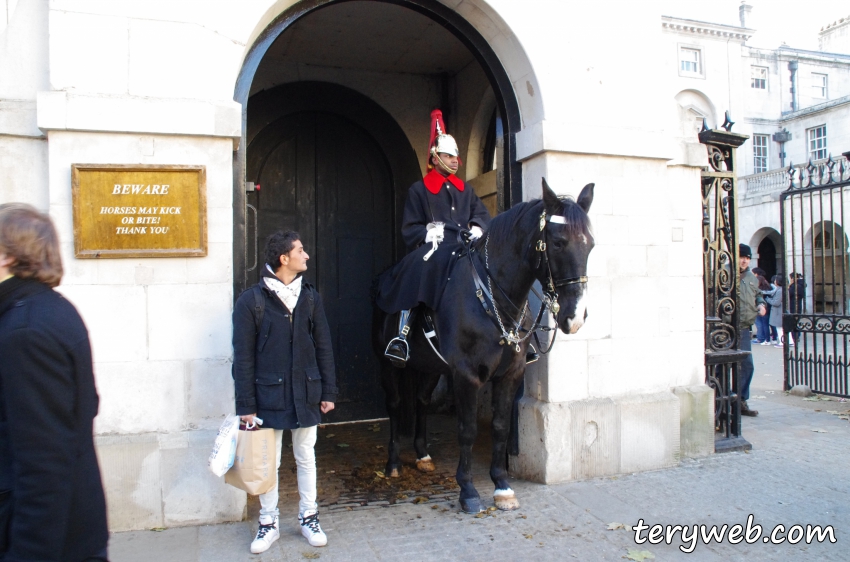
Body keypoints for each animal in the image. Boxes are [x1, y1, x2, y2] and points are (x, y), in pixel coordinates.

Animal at [374, 178, 592, 512]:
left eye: (590, 244)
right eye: (558, 243)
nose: (575, 316)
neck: (492, 296)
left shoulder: (510, 373)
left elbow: (501, 425)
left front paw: (502, 485)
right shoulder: (466, 375)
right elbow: (467, 430)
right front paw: (467, 490)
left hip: (430, 366)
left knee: (422, 401)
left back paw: (422, 455)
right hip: (388, 366)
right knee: (396, 405)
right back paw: (394, 463)